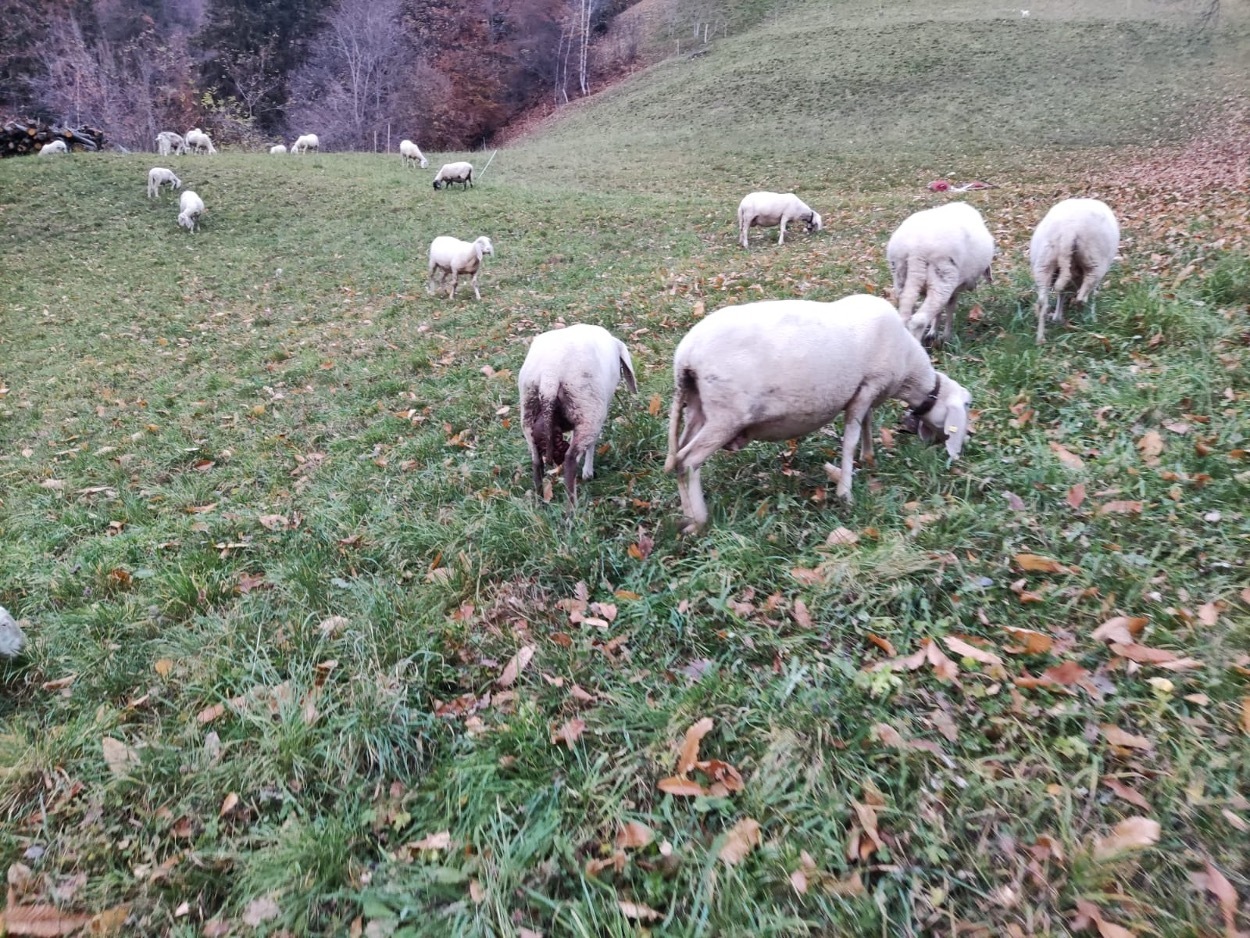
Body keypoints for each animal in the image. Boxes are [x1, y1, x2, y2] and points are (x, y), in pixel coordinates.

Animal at [519, 324, 638, 503]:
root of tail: (550, 375)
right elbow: (591, 444)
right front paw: (588, 472)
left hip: (528, 412)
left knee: (536, 461)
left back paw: (540, 502)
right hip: (587, 409)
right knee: (570, 459)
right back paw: (572, 507)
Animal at [665, 295, 973, 532]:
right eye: (968, 405)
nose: (965, 441)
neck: (909, 370)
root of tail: (685, 357)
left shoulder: (866, 392)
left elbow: (867, 424)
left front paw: (869, 458)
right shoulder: (866, 388)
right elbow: (850, 439)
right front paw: (846, 492)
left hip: (697, 408)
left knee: (678, 457)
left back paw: (687, 517)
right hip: (726, 415)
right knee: (688, 460)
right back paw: (700, 520)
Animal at [886, 201, 994, 345]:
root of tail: (915, 250)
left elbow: (939, 312)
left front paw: (933, 332)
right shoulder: (955, 289)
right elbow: (949, 308)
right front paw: (946, 336)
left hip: (900, 275)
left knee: (905, 316)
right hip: (943, 277)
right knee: (919, 320)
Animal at [1029, 198, 1120, 344]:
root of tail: (1069, 229)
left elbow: (1062, 292)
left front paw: (1057, 317)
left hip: (1043, 263)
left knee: (1042, 302)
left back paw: (1040, 339)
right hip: (1094, 262)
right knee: (1081, 298)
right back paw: (1088, 321)